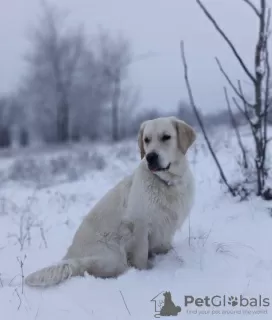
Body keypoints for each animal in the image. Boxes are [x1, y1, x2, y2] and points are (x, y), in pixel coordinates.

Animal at [25, 117, 196, 288]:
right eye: (146, 140)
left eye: (166, 137)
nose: (150, 157)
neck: (167, 183)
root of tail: (69, 256)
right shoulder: (140, 226)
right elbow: (140, 257)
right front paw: (145, 272)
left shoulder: (166, 228)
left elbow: (165, 246)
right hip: (113, 257)